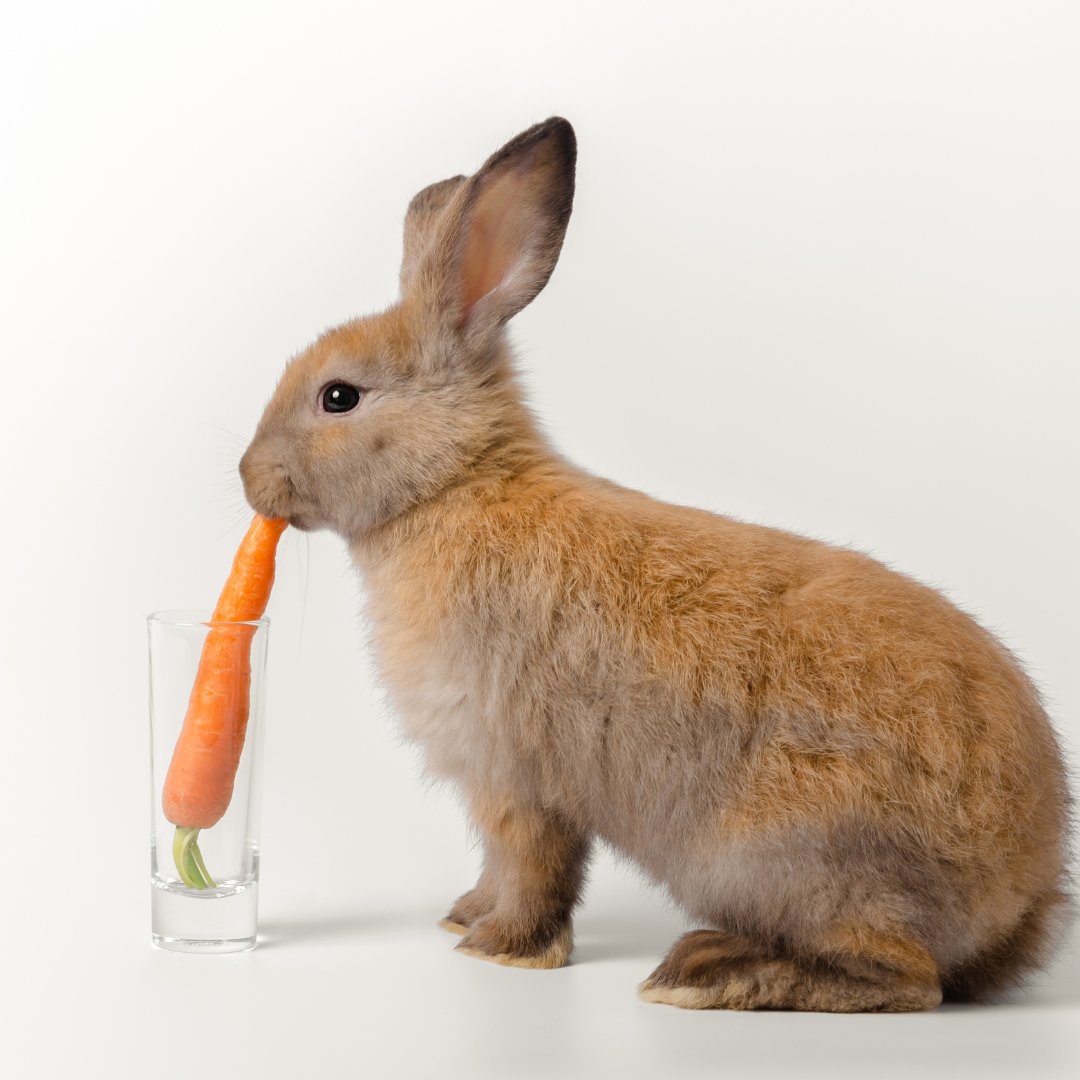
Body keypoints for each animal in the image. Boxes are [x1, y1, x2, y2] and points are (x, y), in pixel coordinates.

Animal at [239, 117, 1071, 1011]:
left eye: (339, 397)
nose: (247, 478)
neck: (454, 486)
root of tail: (1021, 899)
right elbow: (500, 869)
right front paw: (465, 915)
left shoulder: (515, 778)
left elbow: (532, 869)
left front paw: (501, 949)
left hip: (781, 857)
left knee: (905, 979)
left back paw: (707, 972)